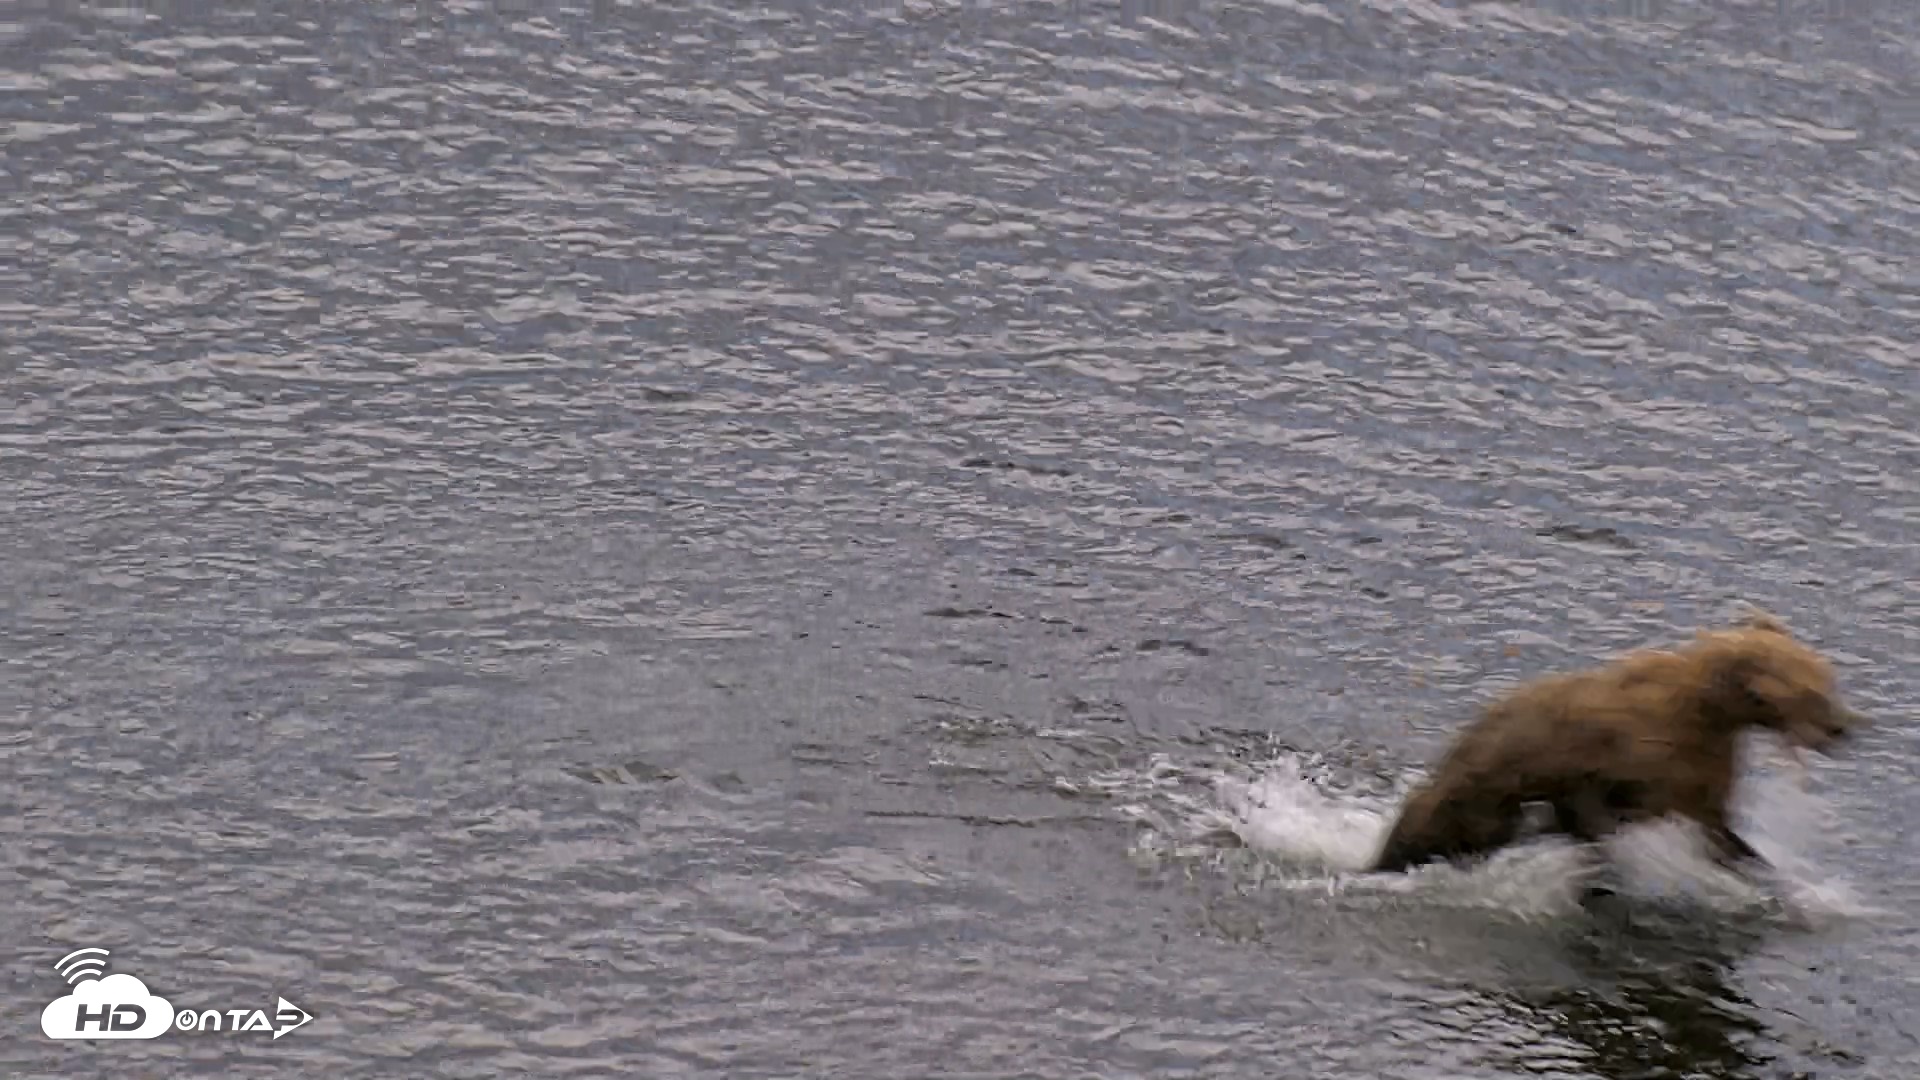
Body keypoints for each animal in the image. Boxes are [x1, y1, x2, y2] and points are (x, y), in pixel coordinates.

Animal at [1368, 610, 1863, 878]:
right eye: (1814, 692)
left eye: (1831, 681)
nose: (1845, 727)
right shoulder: (1621, 751)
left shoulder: (1699, 768)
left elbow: (1713, 820)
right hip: (1463, 797)